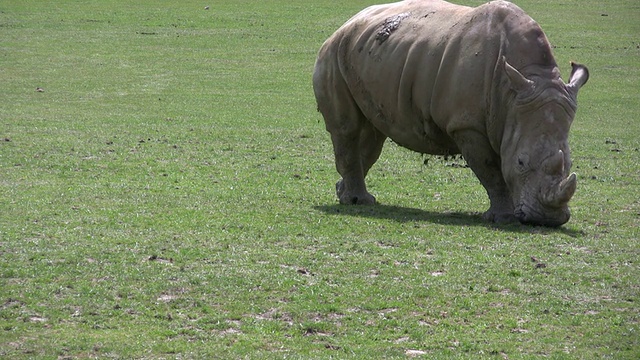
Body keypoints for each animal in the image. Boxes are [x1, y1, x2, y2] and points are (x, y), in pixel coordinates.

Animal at [312, 0, 588, 225]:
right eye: (521, 162)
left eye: (570, 164)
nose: (547, 220)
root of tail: (347, 23)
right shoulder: (467, 125)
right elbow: (491, 170)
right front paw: (504, 218)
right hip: (333, 54)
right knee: (347, 129)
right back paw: (357, 201)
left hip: (368, 57)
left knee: (373, 135)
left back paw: (346, 194)